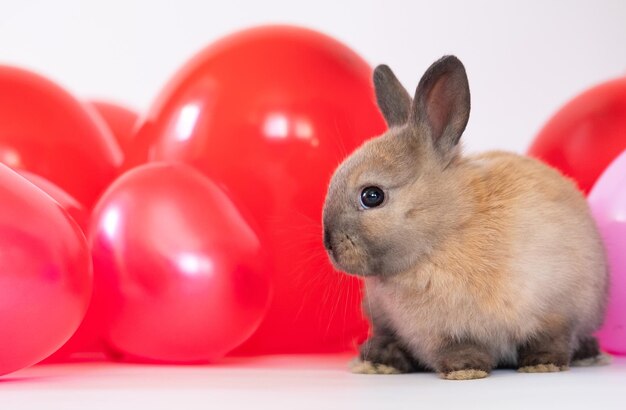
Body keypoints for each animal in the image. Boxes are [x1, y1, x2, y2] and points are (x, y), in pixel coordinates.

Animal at [324, 55, 608, 382]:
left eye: (372, 196)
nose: (328, 244)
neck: (444, 237)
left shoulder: (558, 309)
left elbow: (551, 339)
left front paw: (543, 364)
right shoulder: (438, 334)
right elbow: (456, 349)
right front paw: (466, 370)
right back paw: (378, 362)